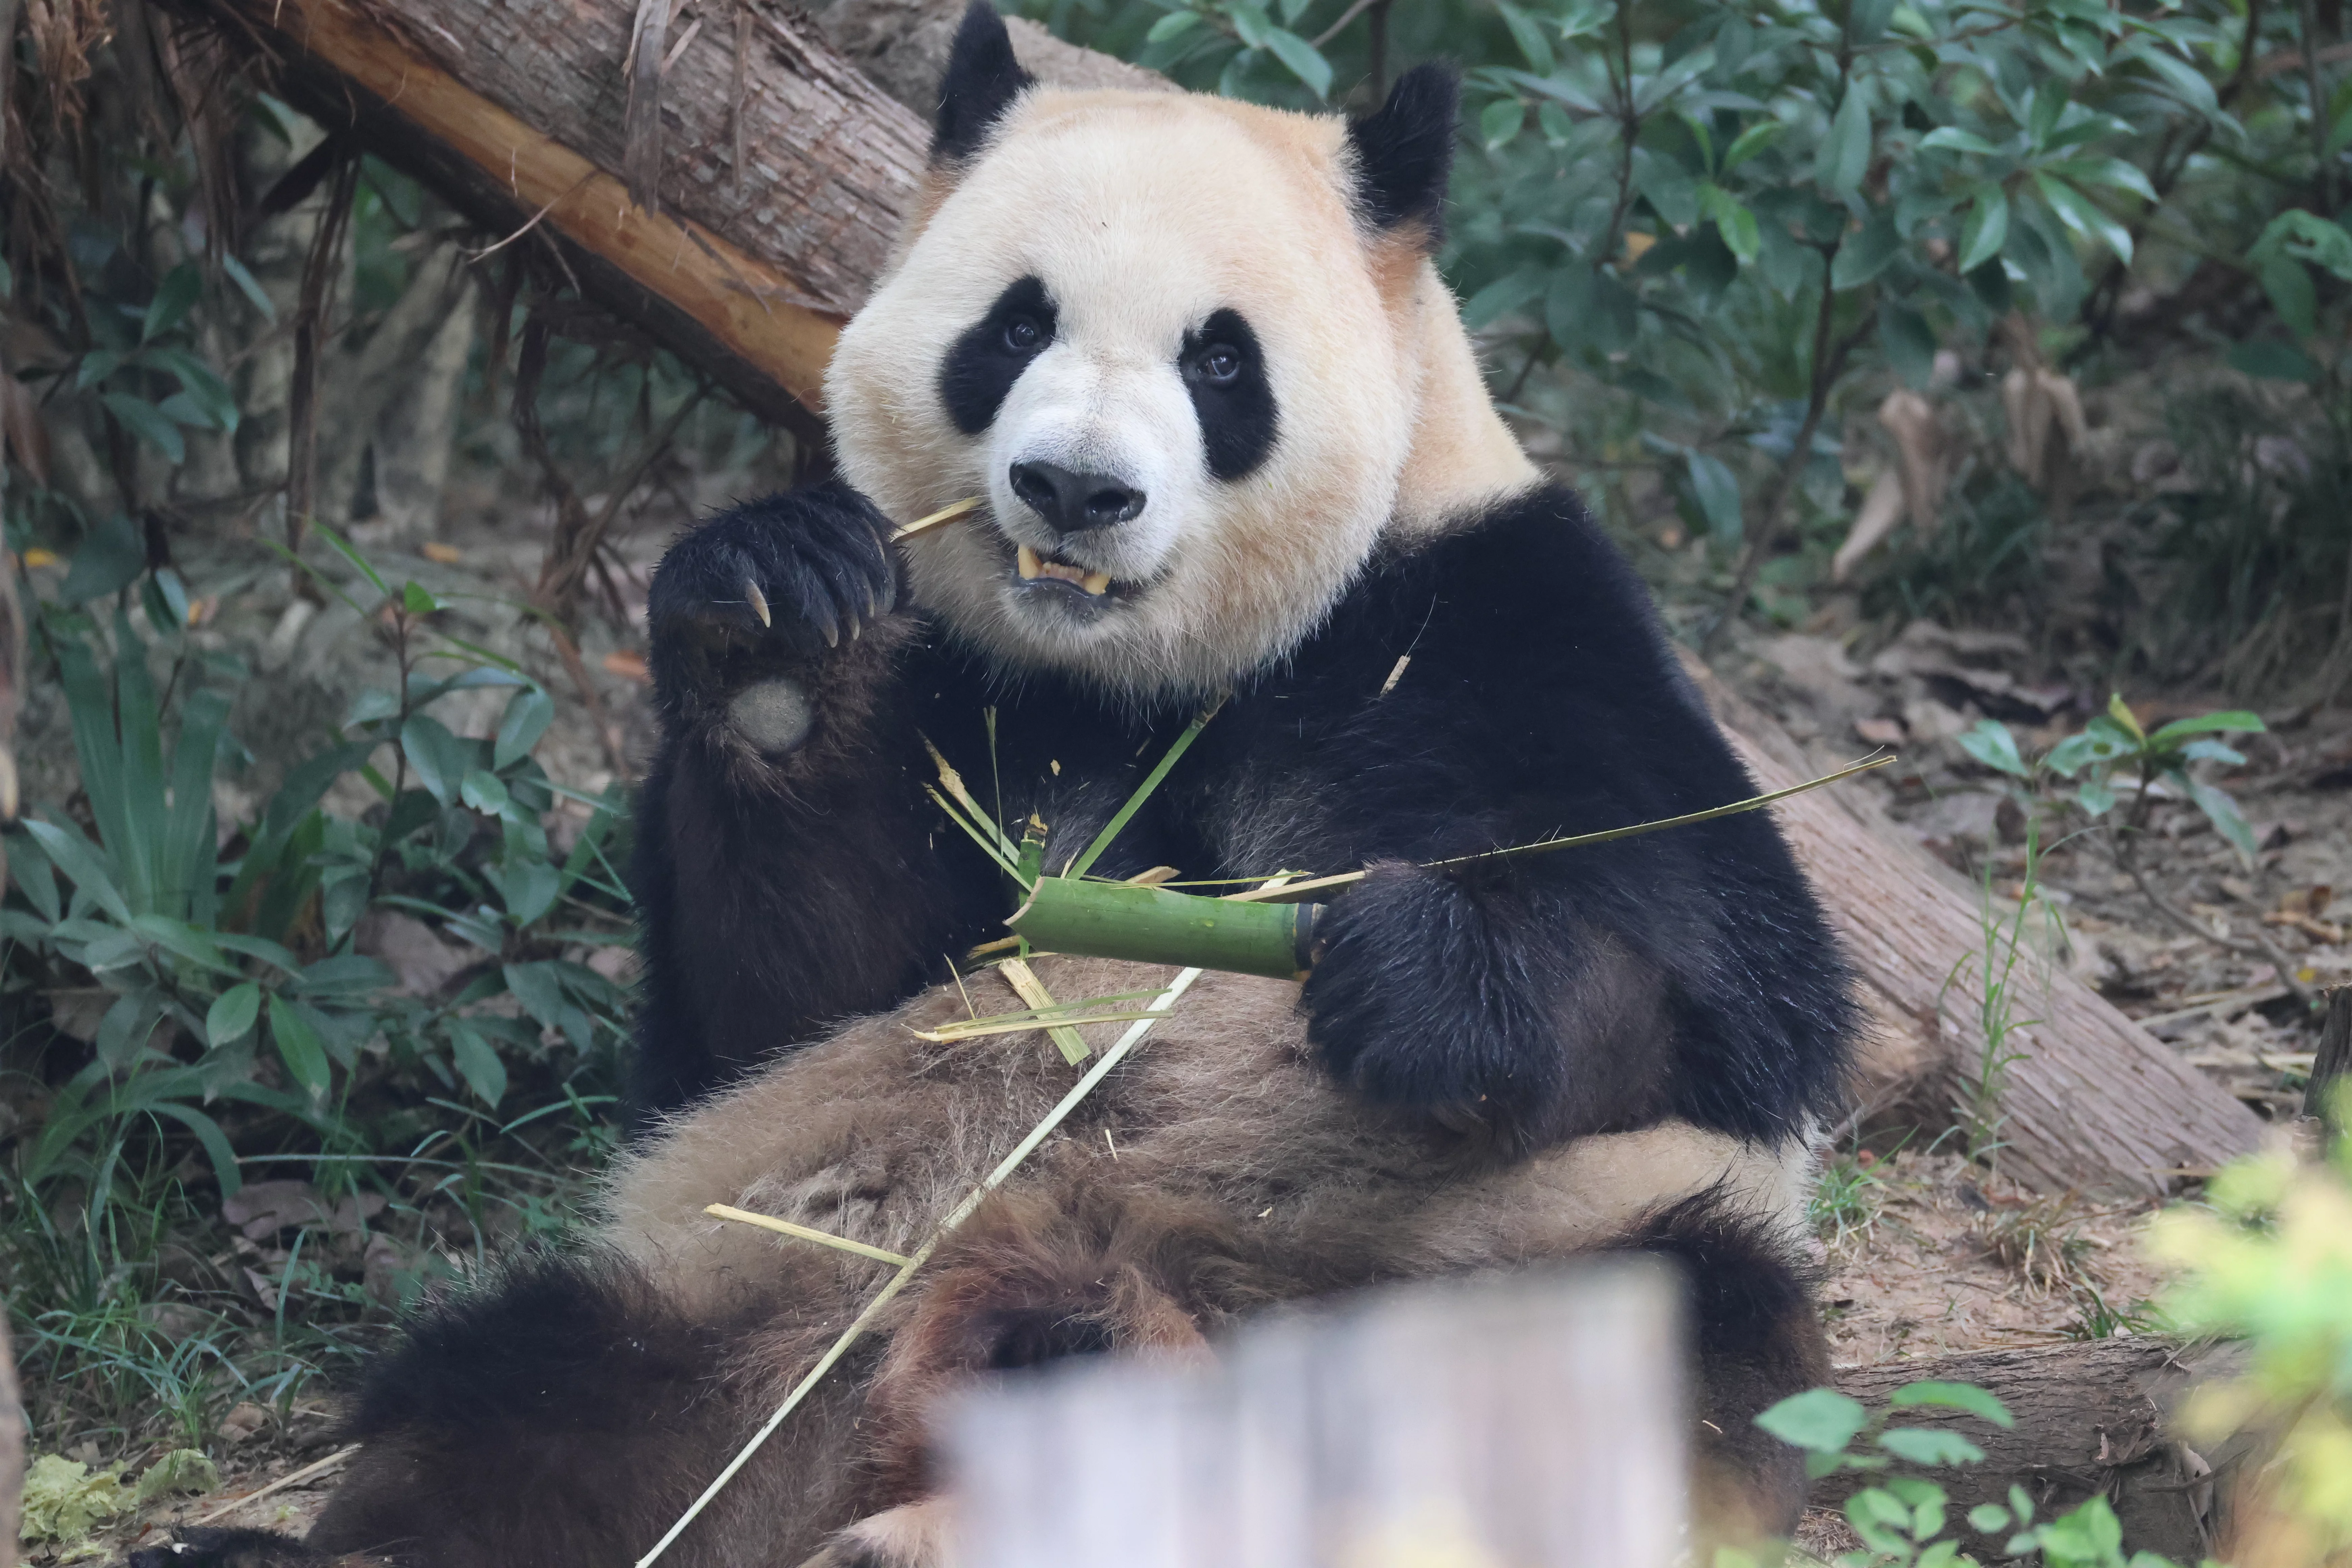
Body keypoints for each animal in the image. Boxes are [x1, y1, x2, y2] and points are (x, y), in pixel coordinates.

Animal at [138, 9, 1856, 1566]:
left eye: (1220, 358)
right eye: (1015, 327)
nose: (1076, 490)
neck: (1129, 670)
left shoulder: (1490, 621)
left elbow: (1733, 990)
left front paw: (1420, 977)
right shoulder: (955, 690)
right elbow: (778, 1001)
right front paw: (772, 632)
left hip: (1489, 1271)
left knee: (1654, 1346)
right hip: (786, 1294)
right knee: (539, 1400)